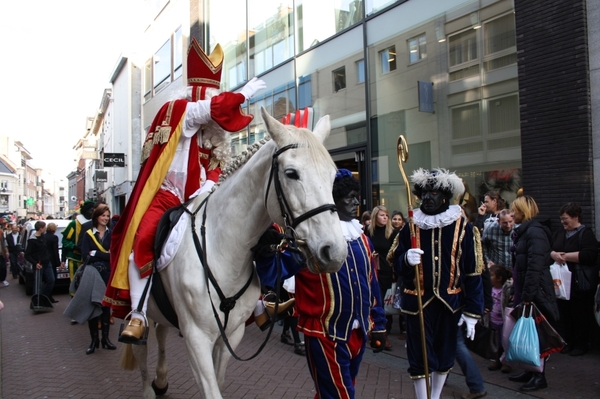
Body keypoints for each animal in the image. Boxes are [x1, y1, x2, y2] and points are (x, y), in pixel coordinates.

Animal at [124, 108, 346, 399]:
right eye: (291, 173)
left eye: (332, 176)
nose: (335, 251)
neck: (224, 250)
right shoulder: (197, 338)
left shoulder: (231, 335)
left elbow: (219, 381)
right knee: (141, 349)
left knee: (161, 334)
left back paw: (160, 381)